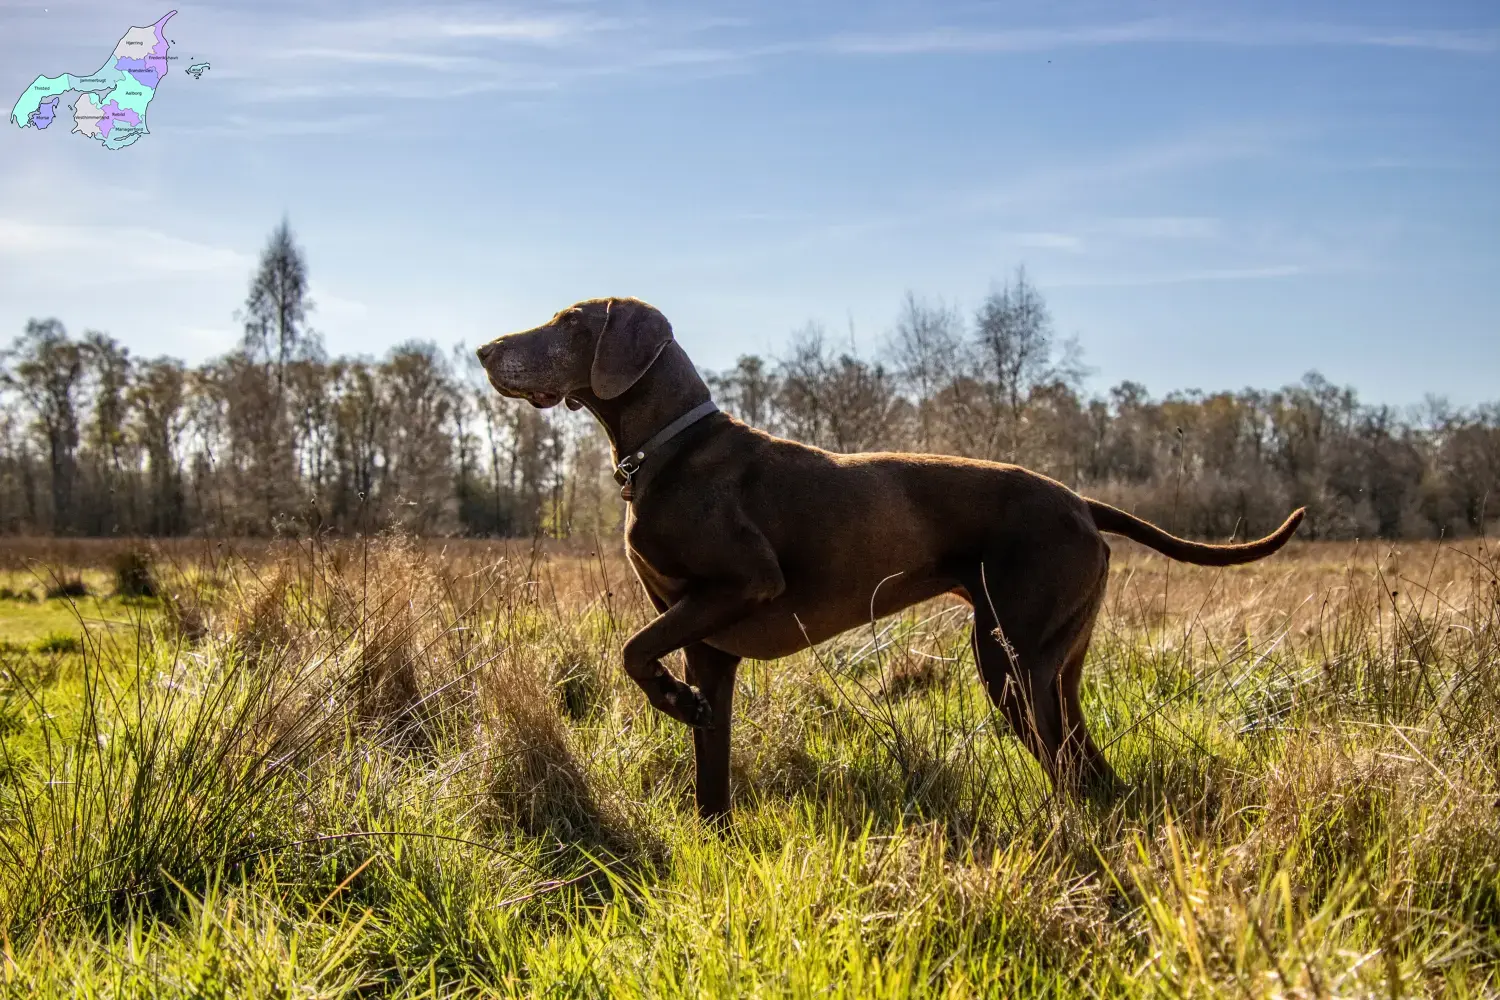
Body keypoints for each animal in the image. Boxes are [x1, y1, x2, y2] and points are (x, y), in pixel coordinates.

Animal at [480, 296, 1302, 821]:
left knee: (1068, 770)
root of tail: (1078, 501)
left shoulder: (740, 586)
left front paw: (672, 701)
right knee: (1088, 767)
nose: (484, 349)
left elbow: (631, 650)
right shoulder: (709, 645)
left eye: (570, 323)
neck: (668, 449)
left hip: (1016, 662)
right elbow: (707, 768)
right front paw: (710, 826)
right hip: (1048, 667)